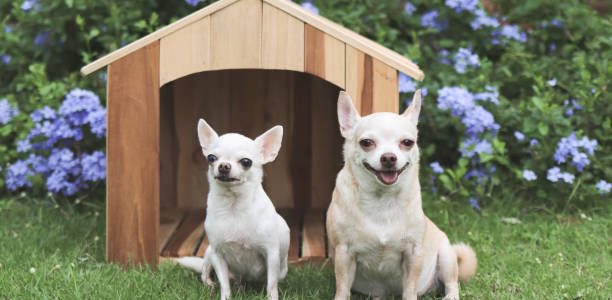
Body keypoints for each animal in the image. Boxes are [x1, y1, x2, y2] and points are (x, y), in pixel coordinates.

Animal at [178, 119, 290, 300]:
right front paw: (225, 297)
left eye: (246, 162)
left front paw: (272, 297)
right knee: (205, 271)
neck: (234, 206)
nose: (223, 166)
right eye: (211, 158)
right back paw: (210, 284)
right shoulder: (217, 254)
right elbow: (224, 284)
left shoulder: (271, 254)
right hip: (209, 253)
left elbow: (271, 285)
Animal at [326, 91, 478, 300]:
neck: (382, 199)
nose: (389, 157)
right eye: (366, 143)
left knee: (452, 282)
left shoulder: (413, 253)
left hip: (447, 256)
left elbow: (410, 288)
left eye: (407, 143)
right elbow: (342, 287)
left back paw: (451, 296)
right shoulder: (344, 253)